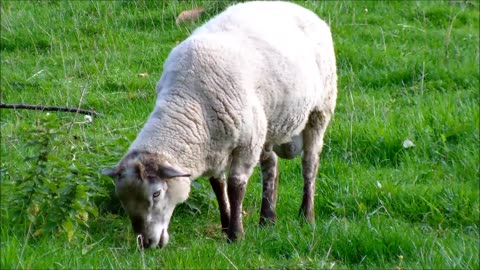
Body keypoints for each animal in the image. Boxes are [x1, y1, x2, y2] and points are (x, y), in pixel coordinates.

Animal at [104, 0, 338, 249]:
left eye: (156, 194)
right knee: (270, 165)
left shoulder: (245, 145)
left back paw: (306, 216)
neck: (189, 99)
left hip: (319, 110)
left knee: (309, 163)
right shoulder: (214, 148)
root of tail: (300, 8)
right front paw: (226, 226)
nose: (146, 243)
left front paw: (236, 235)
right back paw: (267, 219)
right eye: (122, 199)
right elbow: (218, 186)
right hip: (267, 123)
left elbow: (236, 187)